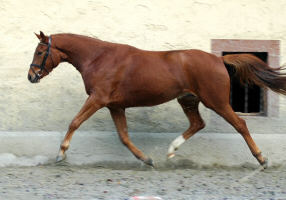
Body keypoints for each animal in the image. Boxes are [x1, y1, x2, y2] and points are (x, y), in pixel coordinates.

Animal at [28, 31, 286, 168]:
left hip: (216, 101)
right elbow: (123, 136)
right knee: (197, 123)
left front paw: (61, 154)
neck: (100, 58)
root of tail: (218, 59)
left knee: (240, 124)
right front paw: (146, 159)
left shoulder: (98, 99)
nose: (31, 76)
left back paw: (262, 159)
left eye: (40, 52)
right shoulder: (115, 106)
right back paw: (171, 151)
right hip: (188, 99)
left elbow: (75, 122)